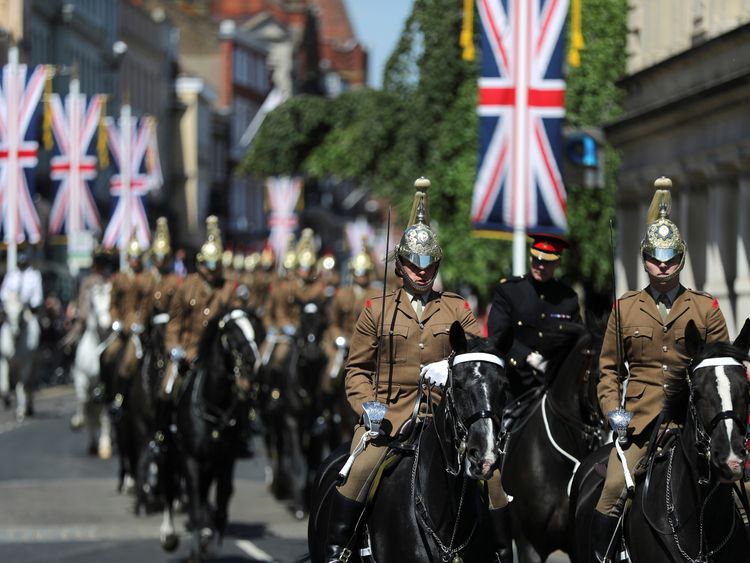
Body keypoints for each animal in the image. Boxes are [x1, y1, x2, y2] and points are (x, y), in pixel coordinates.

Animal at [160, 308, 262, 563]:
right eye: (233, 334)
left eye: (255, 330)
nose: (252, 362)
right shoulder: (191, 460)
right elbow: (195, 506)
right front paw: (197, 550)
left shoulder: (225, 461)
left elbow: (222, 505)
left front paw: (212, 546)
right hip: (171, 452)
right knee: (171, 488)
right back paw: (169, 535)